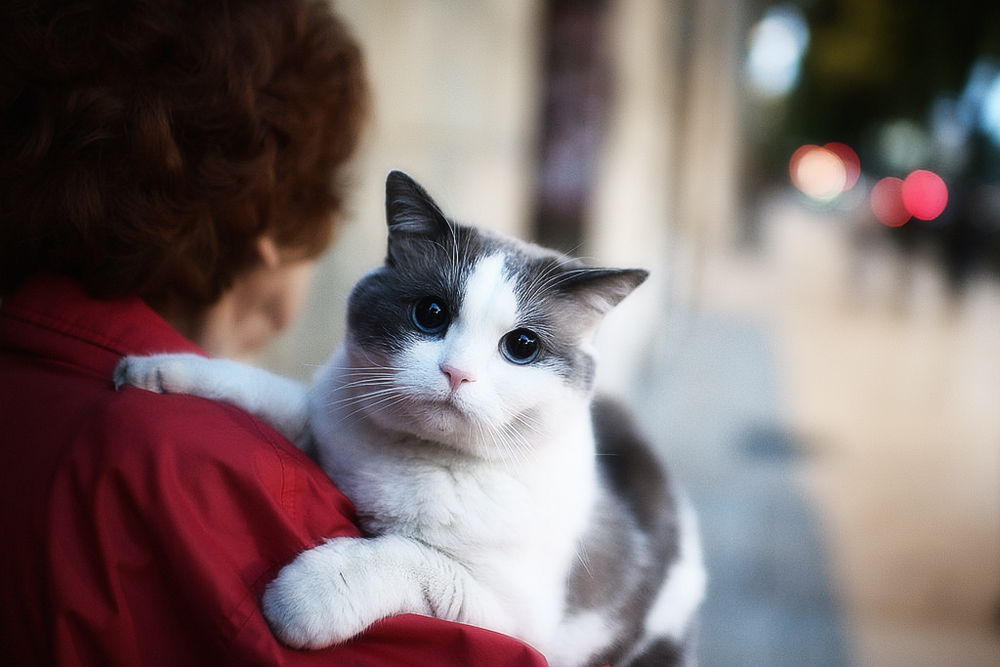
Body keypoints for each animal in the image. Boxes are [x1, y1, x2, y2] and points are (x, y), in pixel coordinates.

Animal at [115, 172, 704, 667]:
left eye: (521, 347)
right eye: (431, 314)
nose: (456, 372)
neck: (415, 459)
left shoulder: (513, 619)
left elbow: (404, 555)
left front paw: (300, 599)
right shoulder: (319, 429)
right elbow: (258, 390)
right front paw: (152, 372)